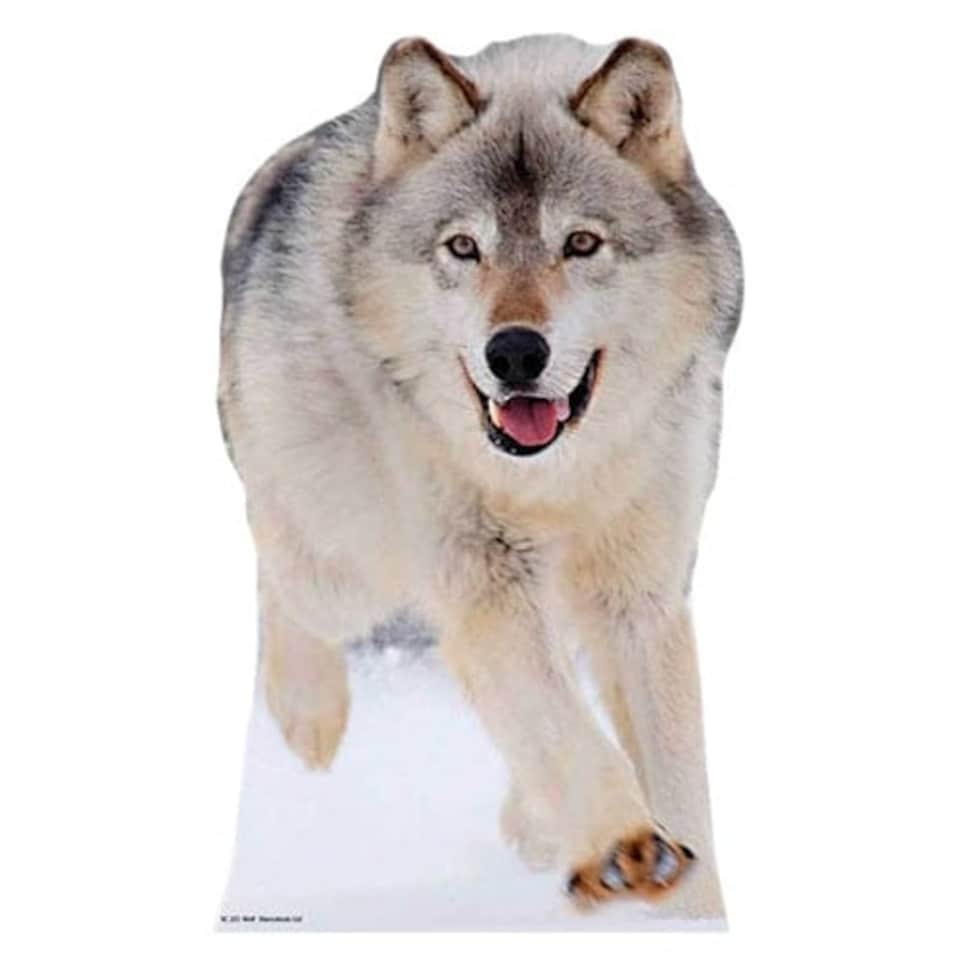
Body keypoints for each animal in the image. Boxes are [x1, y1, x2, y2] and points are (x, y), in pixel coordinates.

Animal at [218, 34, 742, 918]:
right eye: (464, 247)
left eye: (581, 244)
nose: (516, 353)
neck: (553, 480)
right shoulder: (482, 581)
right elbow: (562, 728)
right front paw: (623, 847)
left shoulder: (642, 597)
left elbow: (672, 778)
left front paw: (687, 905)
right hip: (346, 562)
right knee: (278, 568)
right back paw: (306, 718)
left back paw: (534, 825)